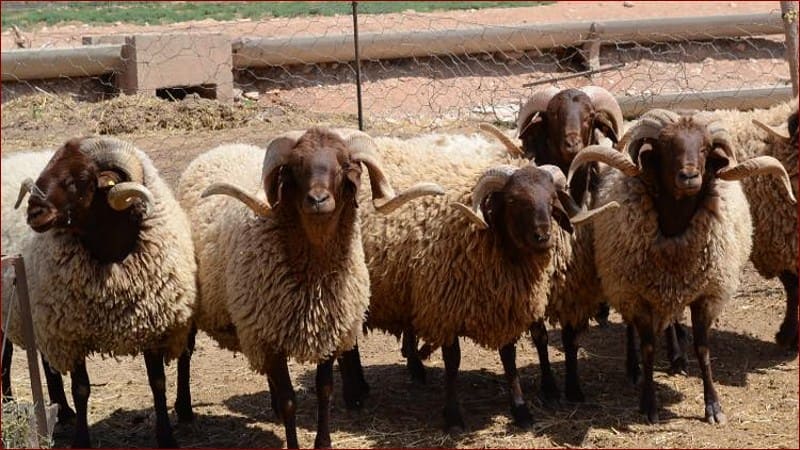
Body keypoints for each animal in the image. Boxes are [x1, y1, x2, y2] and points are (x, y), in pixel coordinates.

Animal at [11, 136, 197, 447]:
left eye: (78, 180)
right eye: (47, 169)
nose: (33, 212)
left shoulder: (151, 326)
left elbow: (157, 383)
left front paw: (166, 436)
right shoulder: (71, 333)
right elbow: (81, 389)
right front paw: (81, 440)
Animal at [176, 128, 443, 448]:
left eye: (344, 164)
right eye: (295, 166)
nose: (318, 199)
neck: (314, 275)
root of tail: (221, 148)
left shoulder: (329, 331)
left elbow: (324, 389)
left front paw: (323, 442)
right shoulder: (269, 338)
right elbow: (291, 401)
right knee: (184, 355)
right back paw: (183, 409)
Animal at [337, 131, 617, 431]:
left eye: (553, 198)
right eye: (513, 200)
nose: (544, 237)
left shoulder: (505, 305)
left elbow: (509, 357)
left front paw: (521, 410)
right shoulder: (444, 309)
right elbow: (452, 363)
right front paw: (453, 416)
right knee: (347, 345)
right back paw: (353, 395)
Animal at [568, 109, 796, 424]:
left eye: (705, 148)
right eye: (666, 147)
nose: (689, 176)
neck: (675, 225)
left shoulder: (706, 294)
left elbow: (703, 348)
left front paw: (713, 406)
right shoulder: (636, 293)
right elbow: (648, 347)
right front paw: (649, 404)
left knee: (672, 320)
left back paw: (677, 358)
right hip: (622, 283)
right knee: (631, 329)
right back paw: (633, 368)